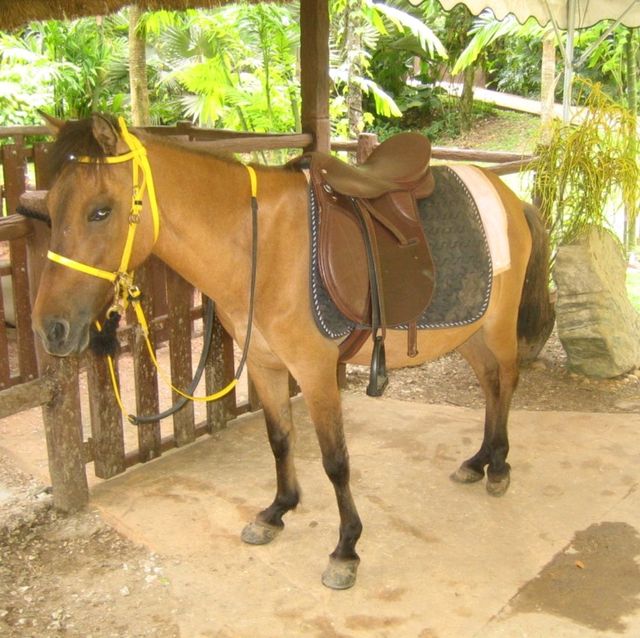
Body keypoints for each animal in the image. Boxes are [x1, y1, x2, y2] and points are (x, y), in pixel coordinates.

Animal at [28, 114, 552, 592]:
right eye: (50, 208)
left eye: (100, 211)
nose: (50, 328)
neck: (258, 245)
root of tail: (509, 196)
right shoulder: (265, 366)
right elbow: (280, 440)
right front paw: (277, 511)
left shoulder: (315, 371)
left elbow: (336, 461)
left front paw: (346, 549)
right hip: (469, 334)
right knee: (490, 385)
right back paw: (478, 460)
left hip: (497, 329)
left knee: (507, 382)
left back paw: (499, 465)